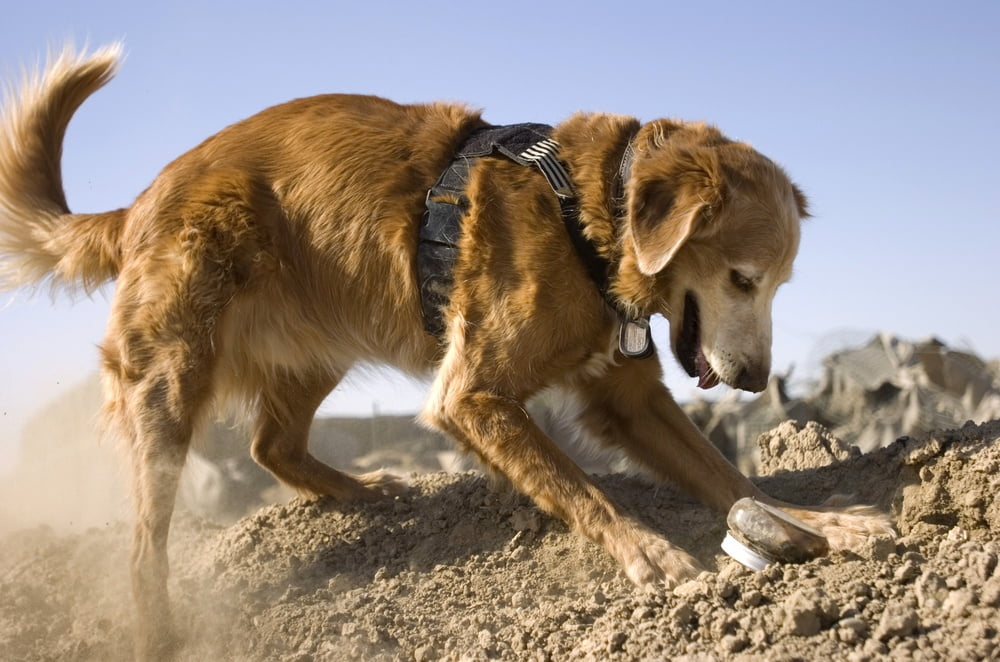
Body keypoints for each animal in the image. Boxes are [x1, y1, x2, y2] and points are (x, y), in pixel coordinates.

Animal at [0, 45, 892, 660]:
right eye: (744, 278)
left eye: (777, 284)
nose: (755, 380)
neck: (589, 214)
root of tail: (140, 200)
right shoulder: (473, 395)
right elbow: (580, 487)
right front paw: (646, 550)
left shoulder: (629, 398)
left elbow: (727, 476)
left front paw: (819, 523)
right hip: (173, 374)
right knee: (145, 540)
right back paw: (159, 627)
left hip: (320, 342)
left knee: (270, 443)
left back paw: (363, 491)